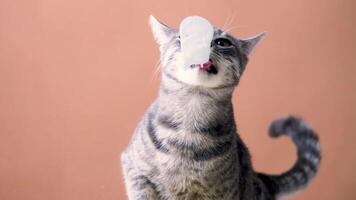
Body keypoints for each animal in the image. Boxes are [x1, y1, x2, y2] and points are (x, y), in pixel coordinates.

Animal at [121, 16, 322, 200]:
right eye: (185, 35)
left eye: (222, 42)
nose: (202, 42)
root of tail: (260, 178)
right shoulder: (134, 169)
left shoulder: (225, 193)